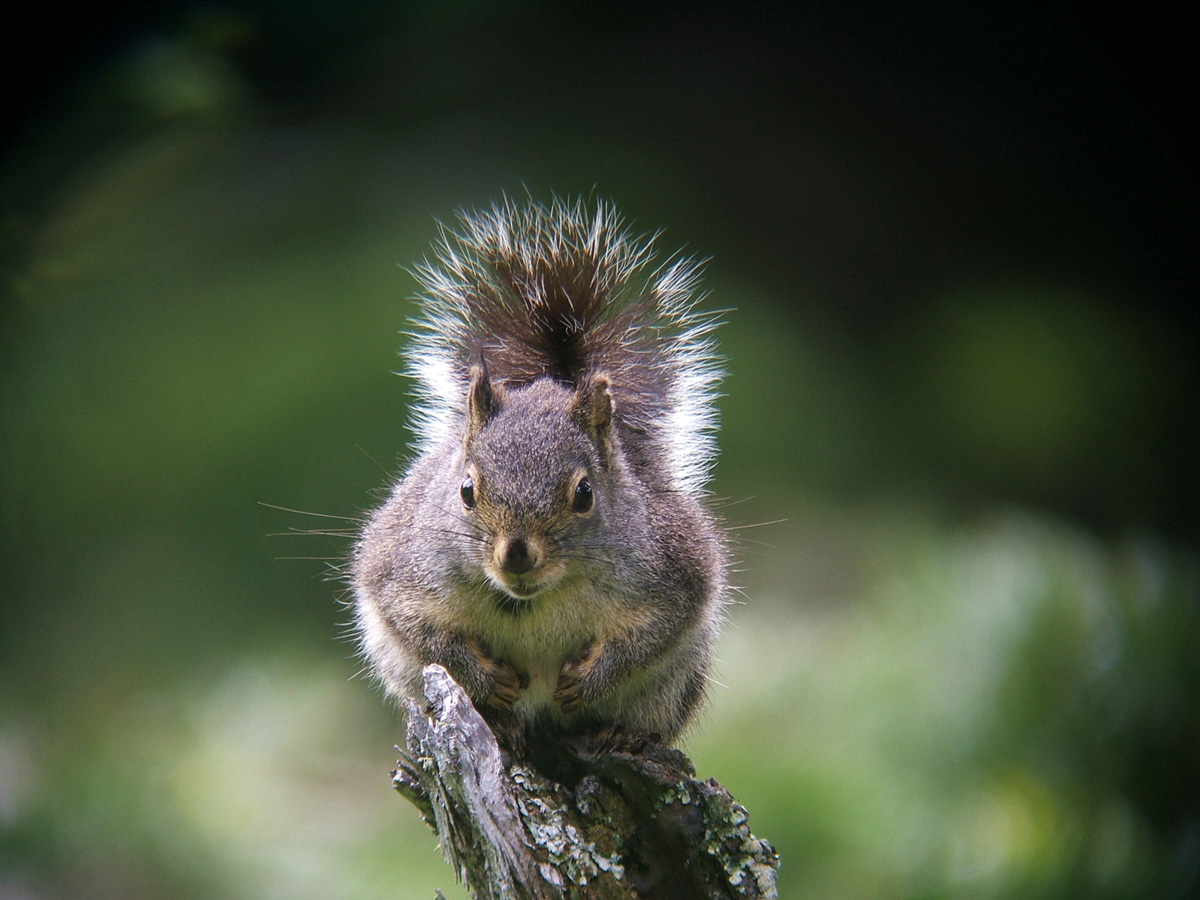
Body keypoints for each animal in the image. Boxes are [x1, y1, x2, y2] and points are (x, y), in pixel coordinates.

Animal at [351, 197, 729, 748]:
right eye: (466, 490)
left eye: (585, 493)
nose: (517, 554)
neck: (537, 597)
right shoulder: (403, 574)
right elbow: (427, 633)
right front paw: (488, 677)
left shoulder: (674, 574)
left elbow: (650, 634)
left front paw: (592, 677)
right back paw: (503, 723)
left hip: (673, 684)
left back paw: (620, 735)